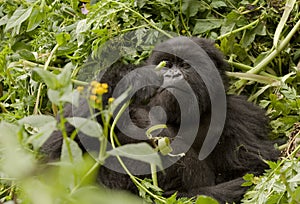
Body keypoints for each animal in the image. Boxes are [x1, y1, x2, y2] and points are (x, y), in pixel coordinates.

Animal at [40, 37, 278, 203]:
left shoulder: (239, 114)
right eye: (167, 65)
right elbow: (58, 150)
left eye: (185, 65)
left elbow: (254, 172)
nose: (172, 75)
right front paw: (131, 77)